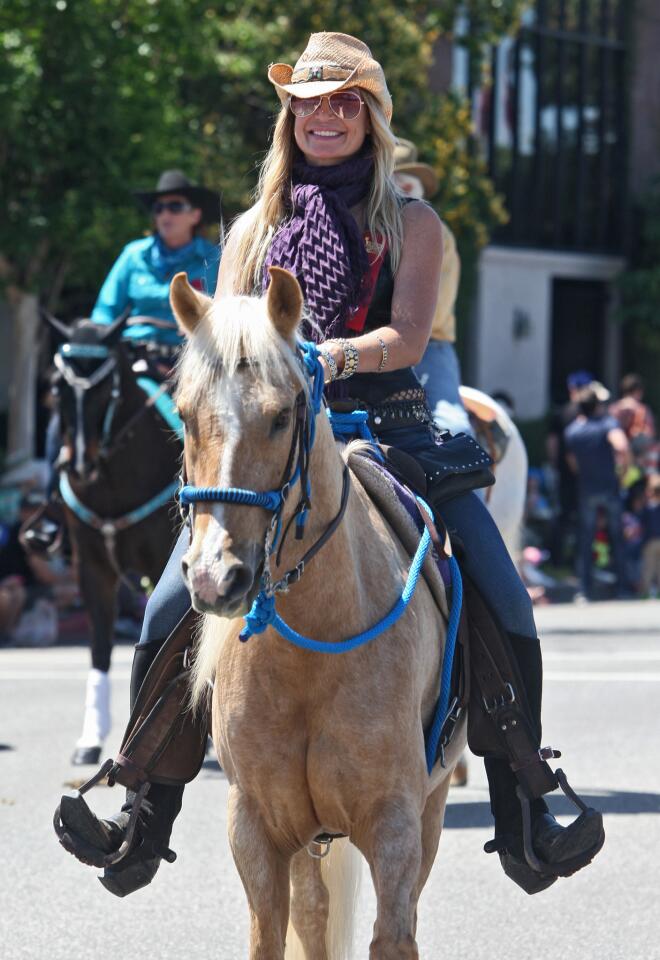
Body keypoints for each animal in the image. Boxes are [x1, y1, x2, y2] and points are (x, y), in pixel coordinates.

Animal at [45, 316, 182, 764]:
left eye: (107, 390)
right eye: (58, 387)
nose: (79, 464)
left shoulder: (161, 562)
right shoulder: (92, 568)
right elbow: (101, 647)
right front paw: (90, 739)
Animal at [173, 270, 466, 960]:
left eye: (282, 416)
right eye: (184, 415)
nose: (215, 576)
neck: (311, 648)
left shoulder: (393, 821)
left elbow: (395, 935)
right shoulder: (256, 826)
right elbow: (274, 935)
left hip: (430, 805)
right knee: (312, 914)